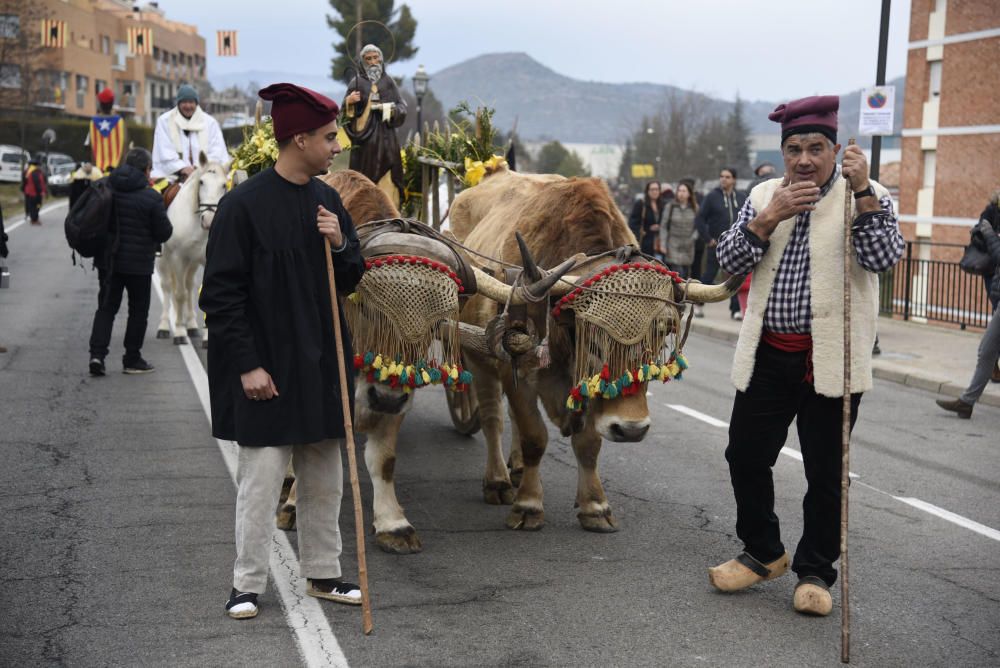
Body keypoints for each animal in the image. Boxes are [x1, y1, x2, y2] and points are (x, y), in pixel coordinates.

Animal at [156, 153, 229, 348]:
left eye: (224, 185)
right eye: (202, 182)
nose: (209, 220)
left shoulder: (206, 260)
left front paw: (207, 338)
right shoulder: (178, 258)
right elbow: (179, 295)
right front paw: (179, 332)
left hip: (192, 262)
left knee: (189, 285)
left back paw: (191, 325)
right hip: (164, 259)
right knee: (168, 286)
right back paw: (164, 326)